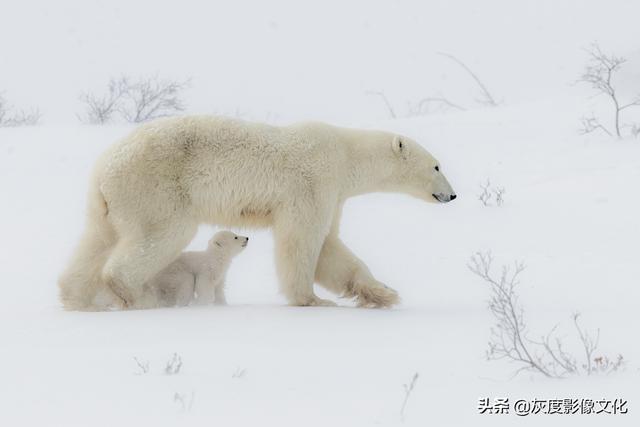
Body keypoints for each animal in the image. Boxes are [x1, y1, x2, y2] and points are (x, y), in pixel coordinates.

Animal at [56, 117, 456, 310]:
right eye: (437, 165)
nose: (452, 194)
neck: (345, 154)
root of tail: (105, 168)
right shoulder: (312, 183)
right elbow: (303, 241)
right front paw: (311, 299)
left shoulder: (334, 194)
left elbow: (332, 248)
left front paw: (383, 293)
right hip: (156, 187)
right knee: (158, 236)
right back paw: (138, 296)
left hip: (110, 203)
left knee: (96, 241)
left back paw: (76, 298)